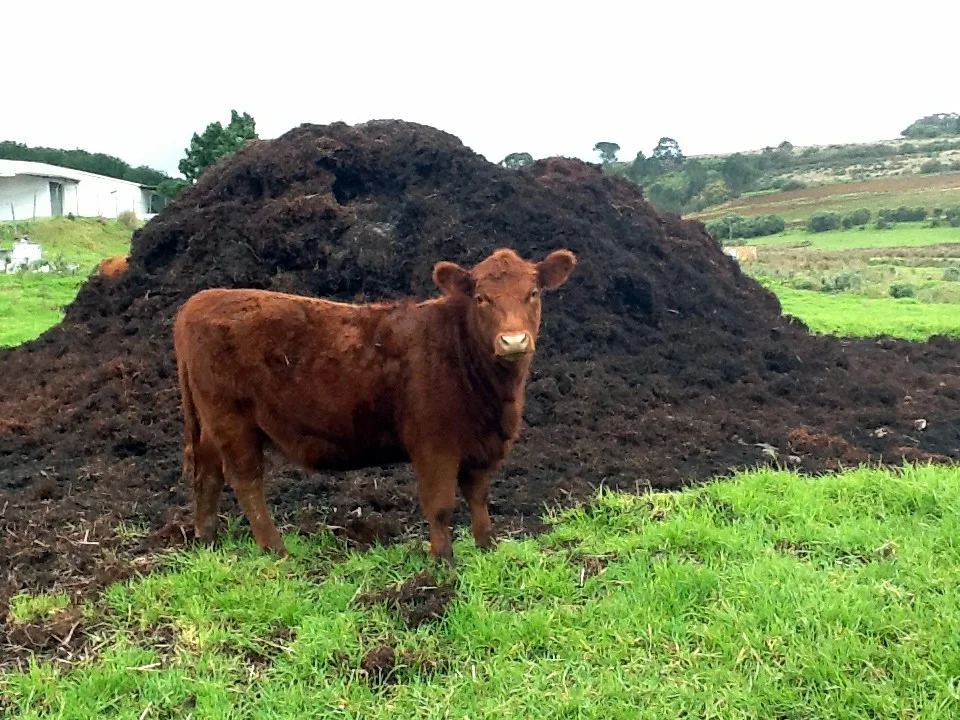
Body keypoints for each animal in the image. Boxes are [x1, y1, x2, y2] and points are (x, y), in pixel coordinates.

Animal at [172, 247, 577, 565]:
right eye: (481, 298)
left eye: (533, 293)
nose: (513, 341)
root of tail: (200, 299)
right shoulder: (434, 444)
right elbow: (440, 504)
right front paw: (443, 561)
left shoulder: (481, 445)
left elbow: (478, 496)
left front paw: (487, 548)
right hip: (232, 419)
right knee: (246, 480)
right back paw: (276, 550)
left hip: (213, 423)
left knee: (208, 471)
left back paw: (207, 539)